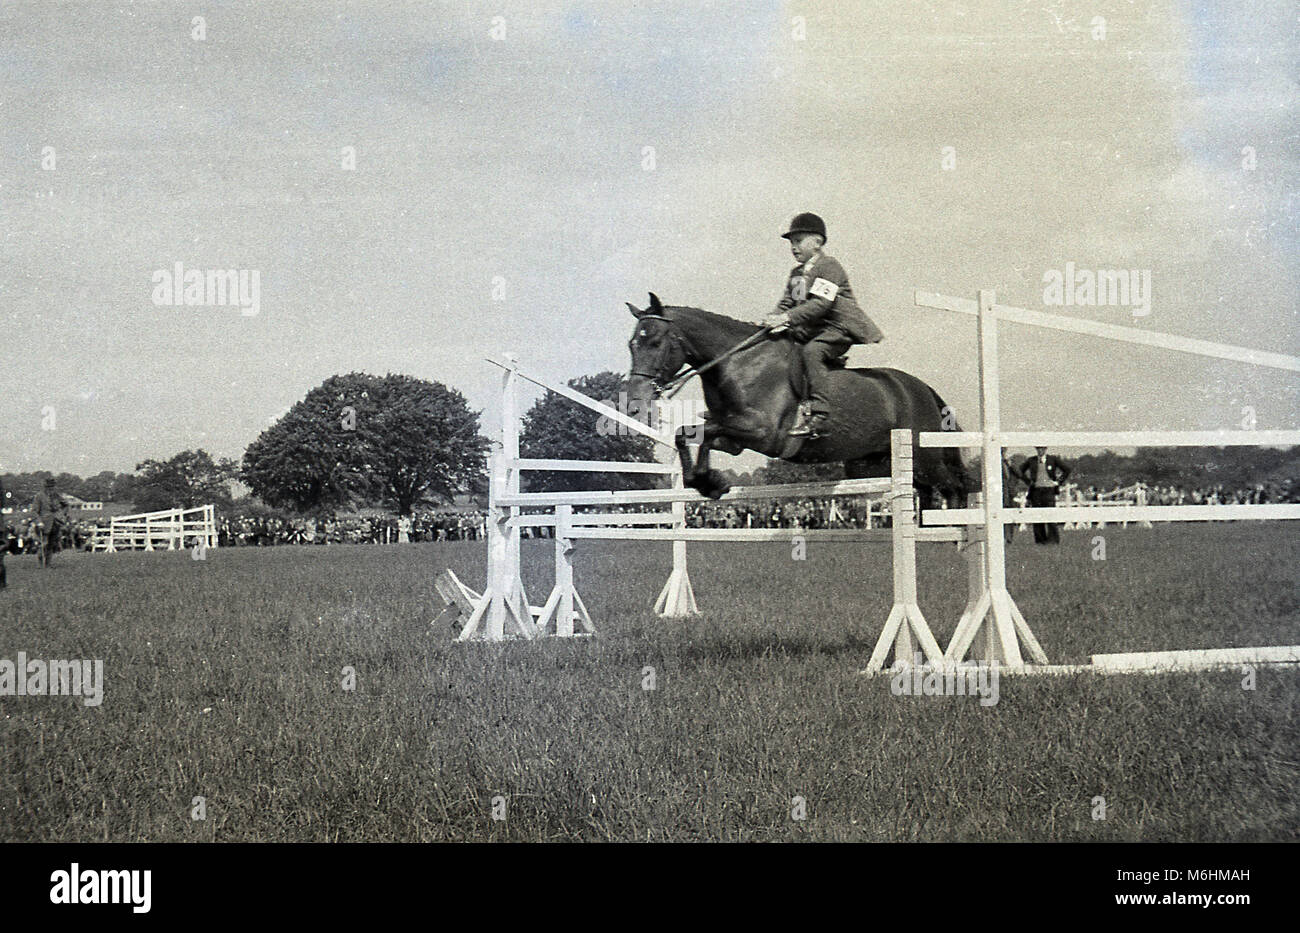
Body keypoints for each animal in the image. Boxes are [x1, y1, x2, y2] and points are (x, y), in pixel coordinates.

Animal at [621, 296, 977, 506]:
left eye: (655, 342)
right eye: (631, 344)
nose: (637, 403)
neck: (739, 362)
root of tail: (922, 388)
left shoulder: (764, 434)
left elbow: (703, 436)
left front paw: (710, 483)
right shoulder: (734, 438)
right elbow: (688, 435)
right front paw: (707, 482)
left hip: (925, 458)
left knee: (955, 486)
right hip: (894, 461)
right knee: (929, 491)